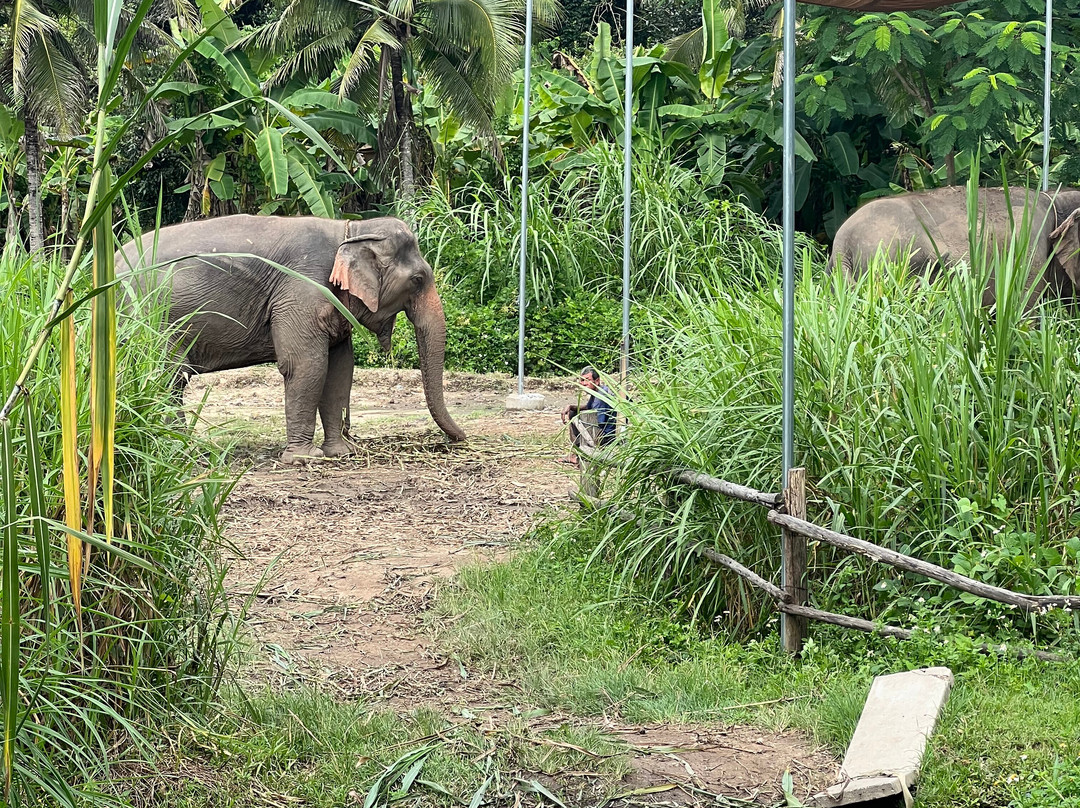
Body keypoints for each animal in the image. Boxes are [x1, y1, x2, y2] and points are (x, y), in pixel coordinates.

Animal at [118, 214, 464, 464]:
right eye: (417, 280)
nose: (458, 440)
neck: (350, 229)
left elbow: (340, 369)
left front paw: (342, 453)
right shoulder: (301, 291)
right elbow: (306, 365)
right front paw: (304, 459)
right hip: (153, 318)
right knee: (166, 377)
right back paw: (177, 452)